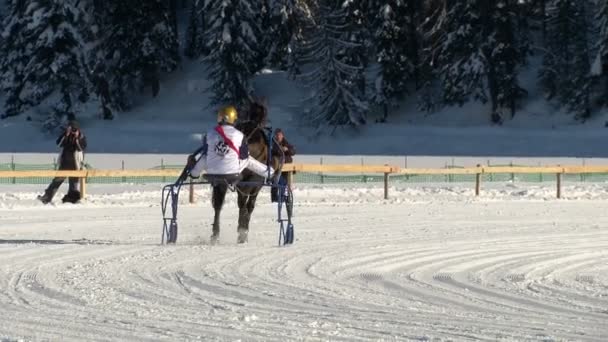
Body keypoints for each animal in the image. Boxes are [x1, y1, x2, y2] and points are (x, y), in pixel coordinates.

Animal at [207, 98, 278, 243]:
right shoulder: (255, 183)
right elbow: (249, 205)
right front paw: (243, 230)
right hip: (248, 181)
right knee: (242, 204)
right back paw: (241, 232)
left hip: (222, 181)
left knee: (218, 204)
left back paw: (215, 234)